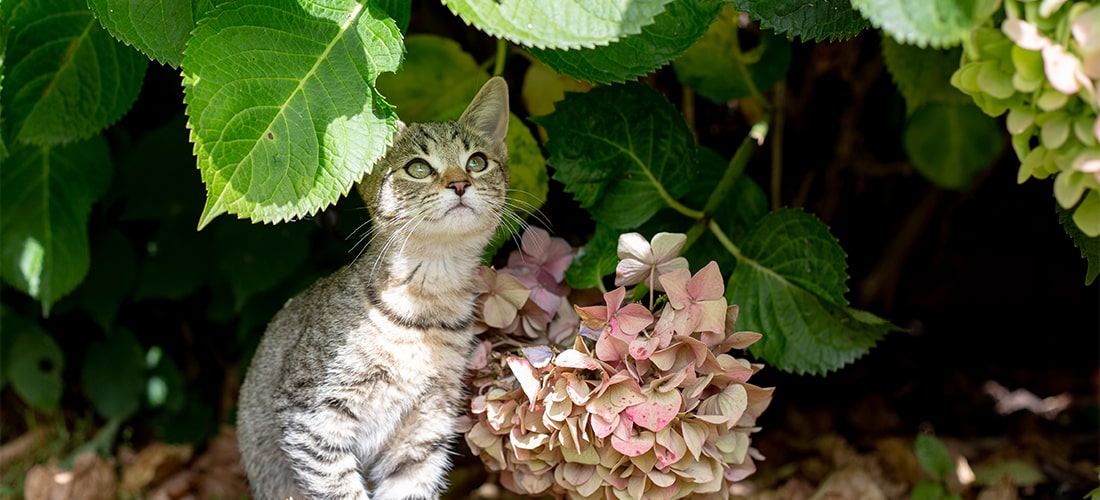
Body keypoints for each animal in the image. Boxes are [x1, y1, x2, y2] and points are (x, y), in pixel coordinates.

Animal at [236, 76, 510, 498]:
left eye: (477, 162)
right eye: (418, 167)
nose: (460, 183)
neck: (427, 306)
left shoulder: (425, 427)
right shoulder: (310, 414)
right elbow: (340, 489)